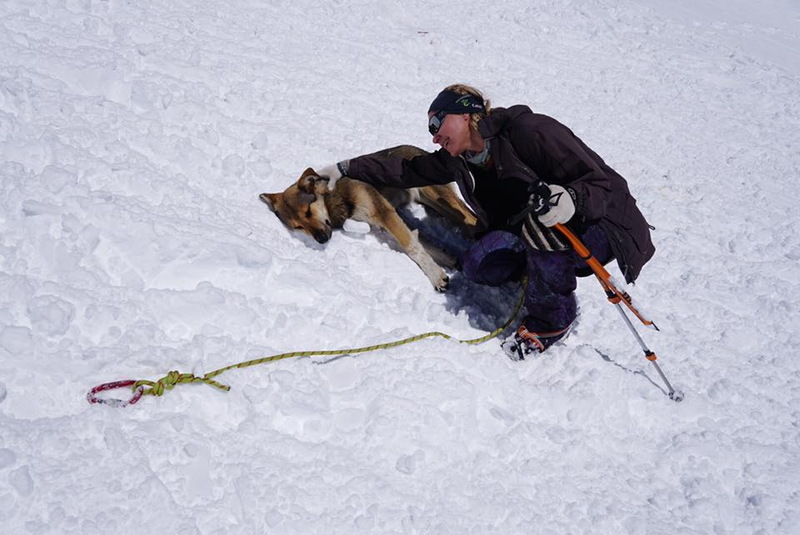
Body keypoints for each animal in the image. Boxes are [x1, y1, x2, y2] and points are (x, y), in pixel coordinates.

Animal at [260, 144, 476, 292]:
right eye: (298, 226)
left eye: (307, 212)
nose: (321, 239)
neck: (336, 197)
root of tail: (416, 148)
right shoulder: (387, 218)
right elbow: (419, 241)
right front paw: (447, 259)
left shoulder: (384, 213)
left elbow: (412, 247)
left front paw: (436, 276)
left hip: (440, 198)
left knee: (471, 219)